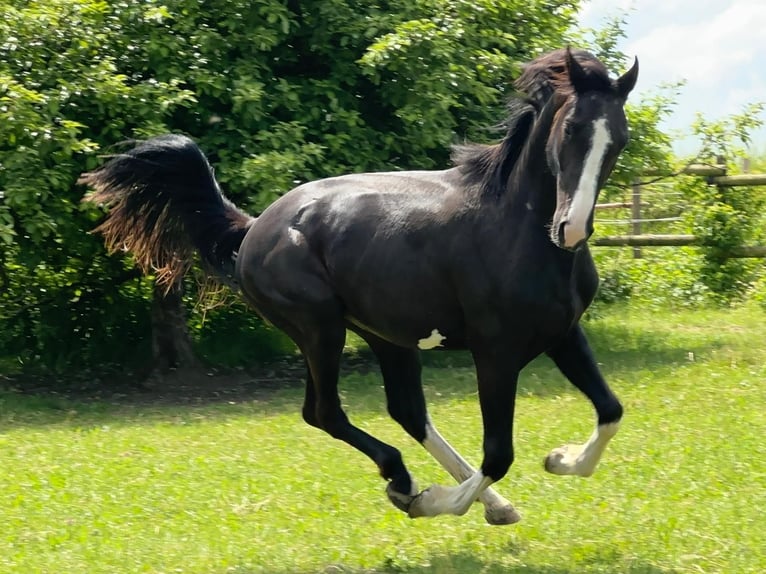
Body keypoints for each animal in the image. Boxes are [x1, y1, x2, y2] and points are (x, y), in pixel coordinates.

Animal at [81, 48, 640, 528]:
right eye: (571, 128)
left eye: (619, 138)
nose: (571, 228)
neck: (514, 230)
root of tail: (256, 226)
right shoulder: (495, 352)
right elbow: (499, 452)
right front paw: (434, 502)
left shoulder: (563, 334)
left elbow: (611, 411)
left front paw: (560, 459)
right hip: (319, 329)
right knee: (325, 412)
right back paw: (405, 483)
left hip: (384, 336)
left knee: (406, 412)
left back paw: (487, 504)